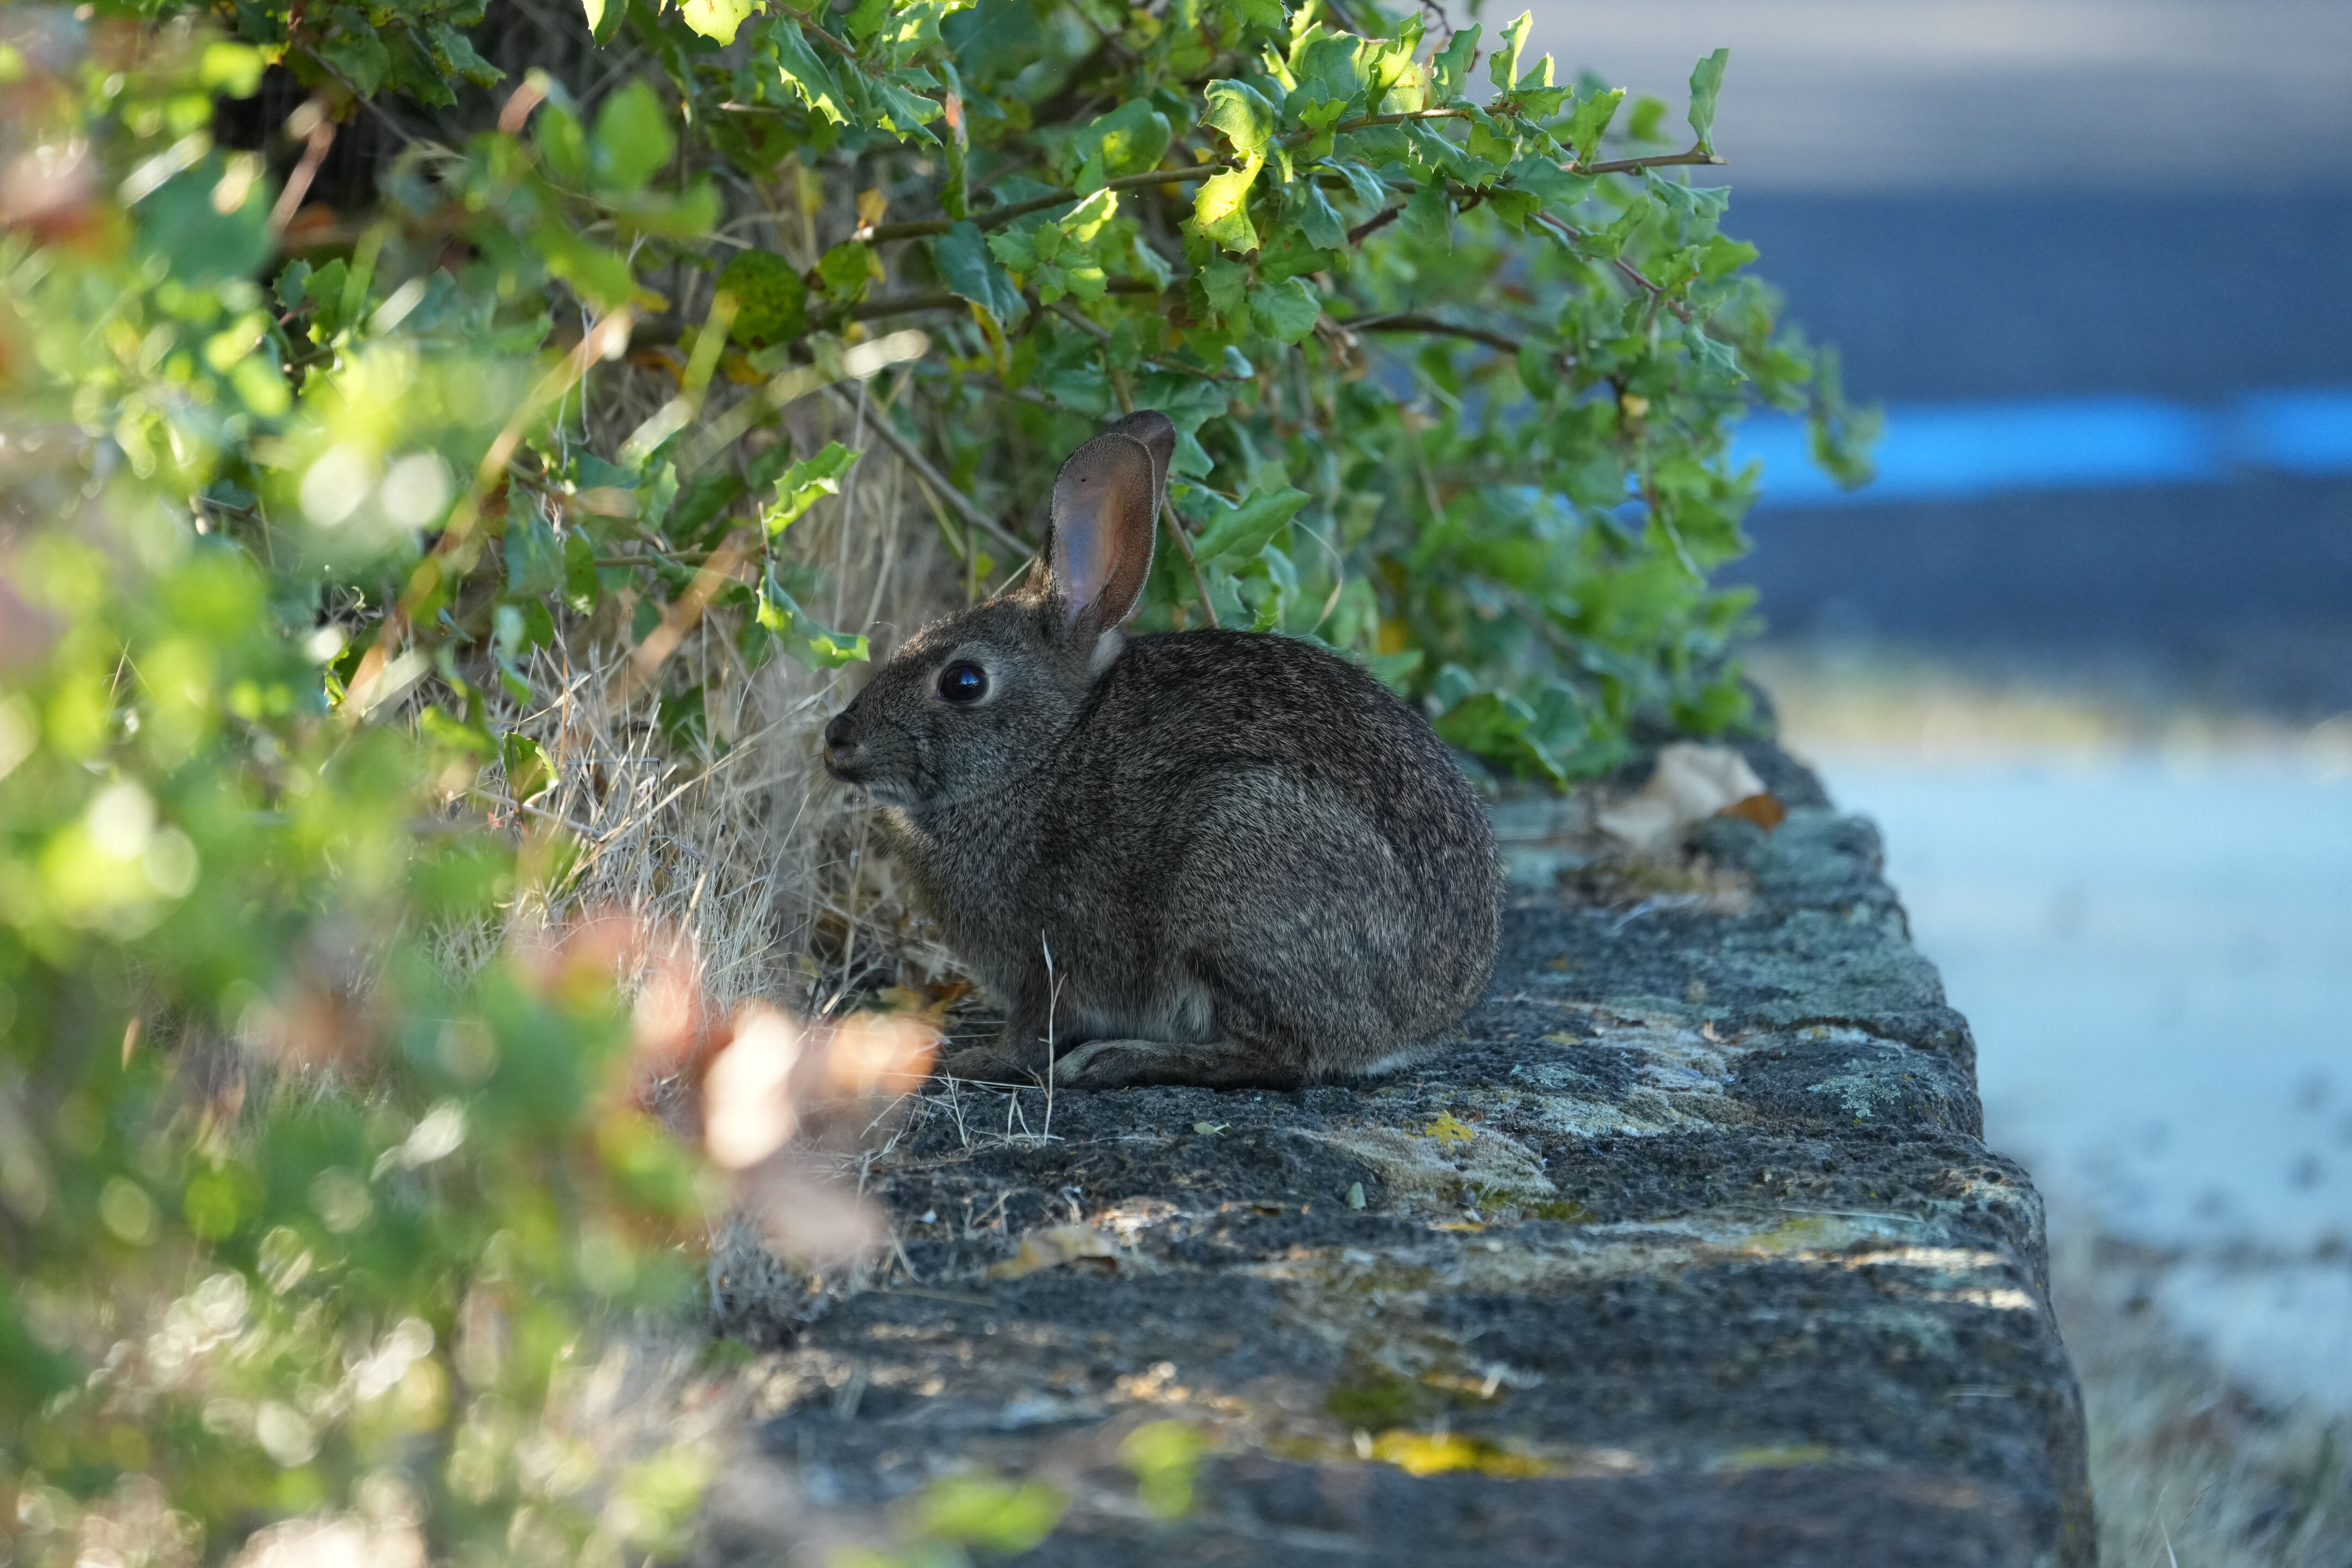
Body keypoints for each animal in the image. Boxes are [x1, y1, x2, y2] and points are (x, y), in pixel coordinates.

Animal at [821, 409, 1500, 1091]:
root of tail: (1421, 1018)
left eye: (963, 683)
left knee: (1279, 1057)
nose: (838, 740)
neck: (1046, 750)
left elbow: (1035, 1029)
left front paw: (974, 1059)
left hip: (1237, 866)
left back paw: (1112, 1059)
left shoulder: (1049, 954)